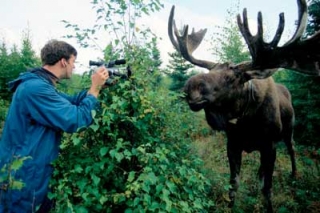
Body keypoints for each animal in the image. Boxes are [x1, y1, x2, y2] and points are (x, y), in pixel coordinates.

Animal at [168, 0, 320, 211]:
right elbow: (233, 185)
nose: (191, 85)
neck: (246, 121)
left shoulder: (269, 144)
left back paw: (294, 175)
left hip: (289, 130)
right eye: (210, 70)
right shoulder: (233, 144)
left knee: (292, 149)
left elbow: (267, 190)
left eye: (232, 78)